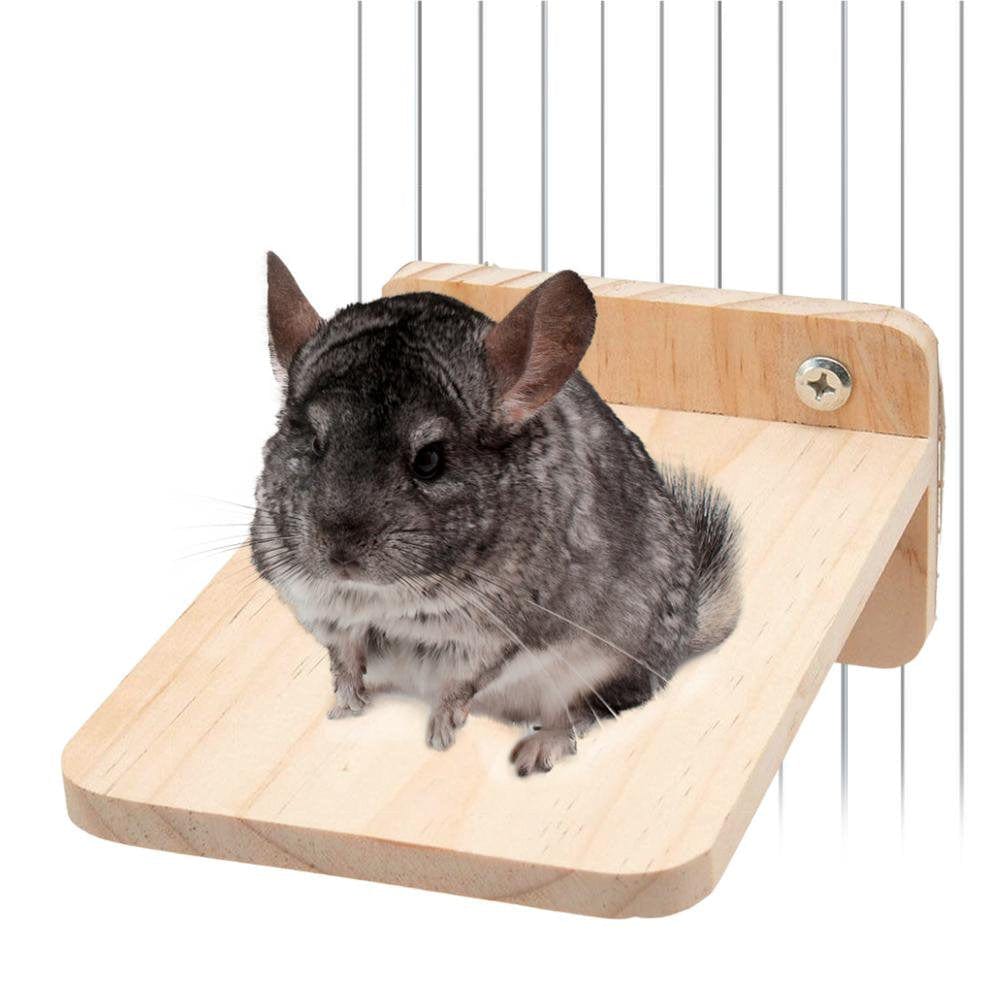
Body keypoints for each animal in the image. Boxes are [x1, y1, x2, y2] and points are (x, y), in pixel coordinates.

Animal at [251, 253, 741, 776]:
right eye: (314, 442)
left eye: (430, 459)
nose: (339, 553)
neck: (381, 597)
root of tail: (687, 630)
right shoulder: (321, 612)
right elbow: (344, 659)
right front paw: (345, 707)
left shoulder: (497, 632)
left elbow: (461, 682)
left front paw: (441, 733)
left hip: (614, 665)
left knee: (587, 712)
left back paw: (539, 749)